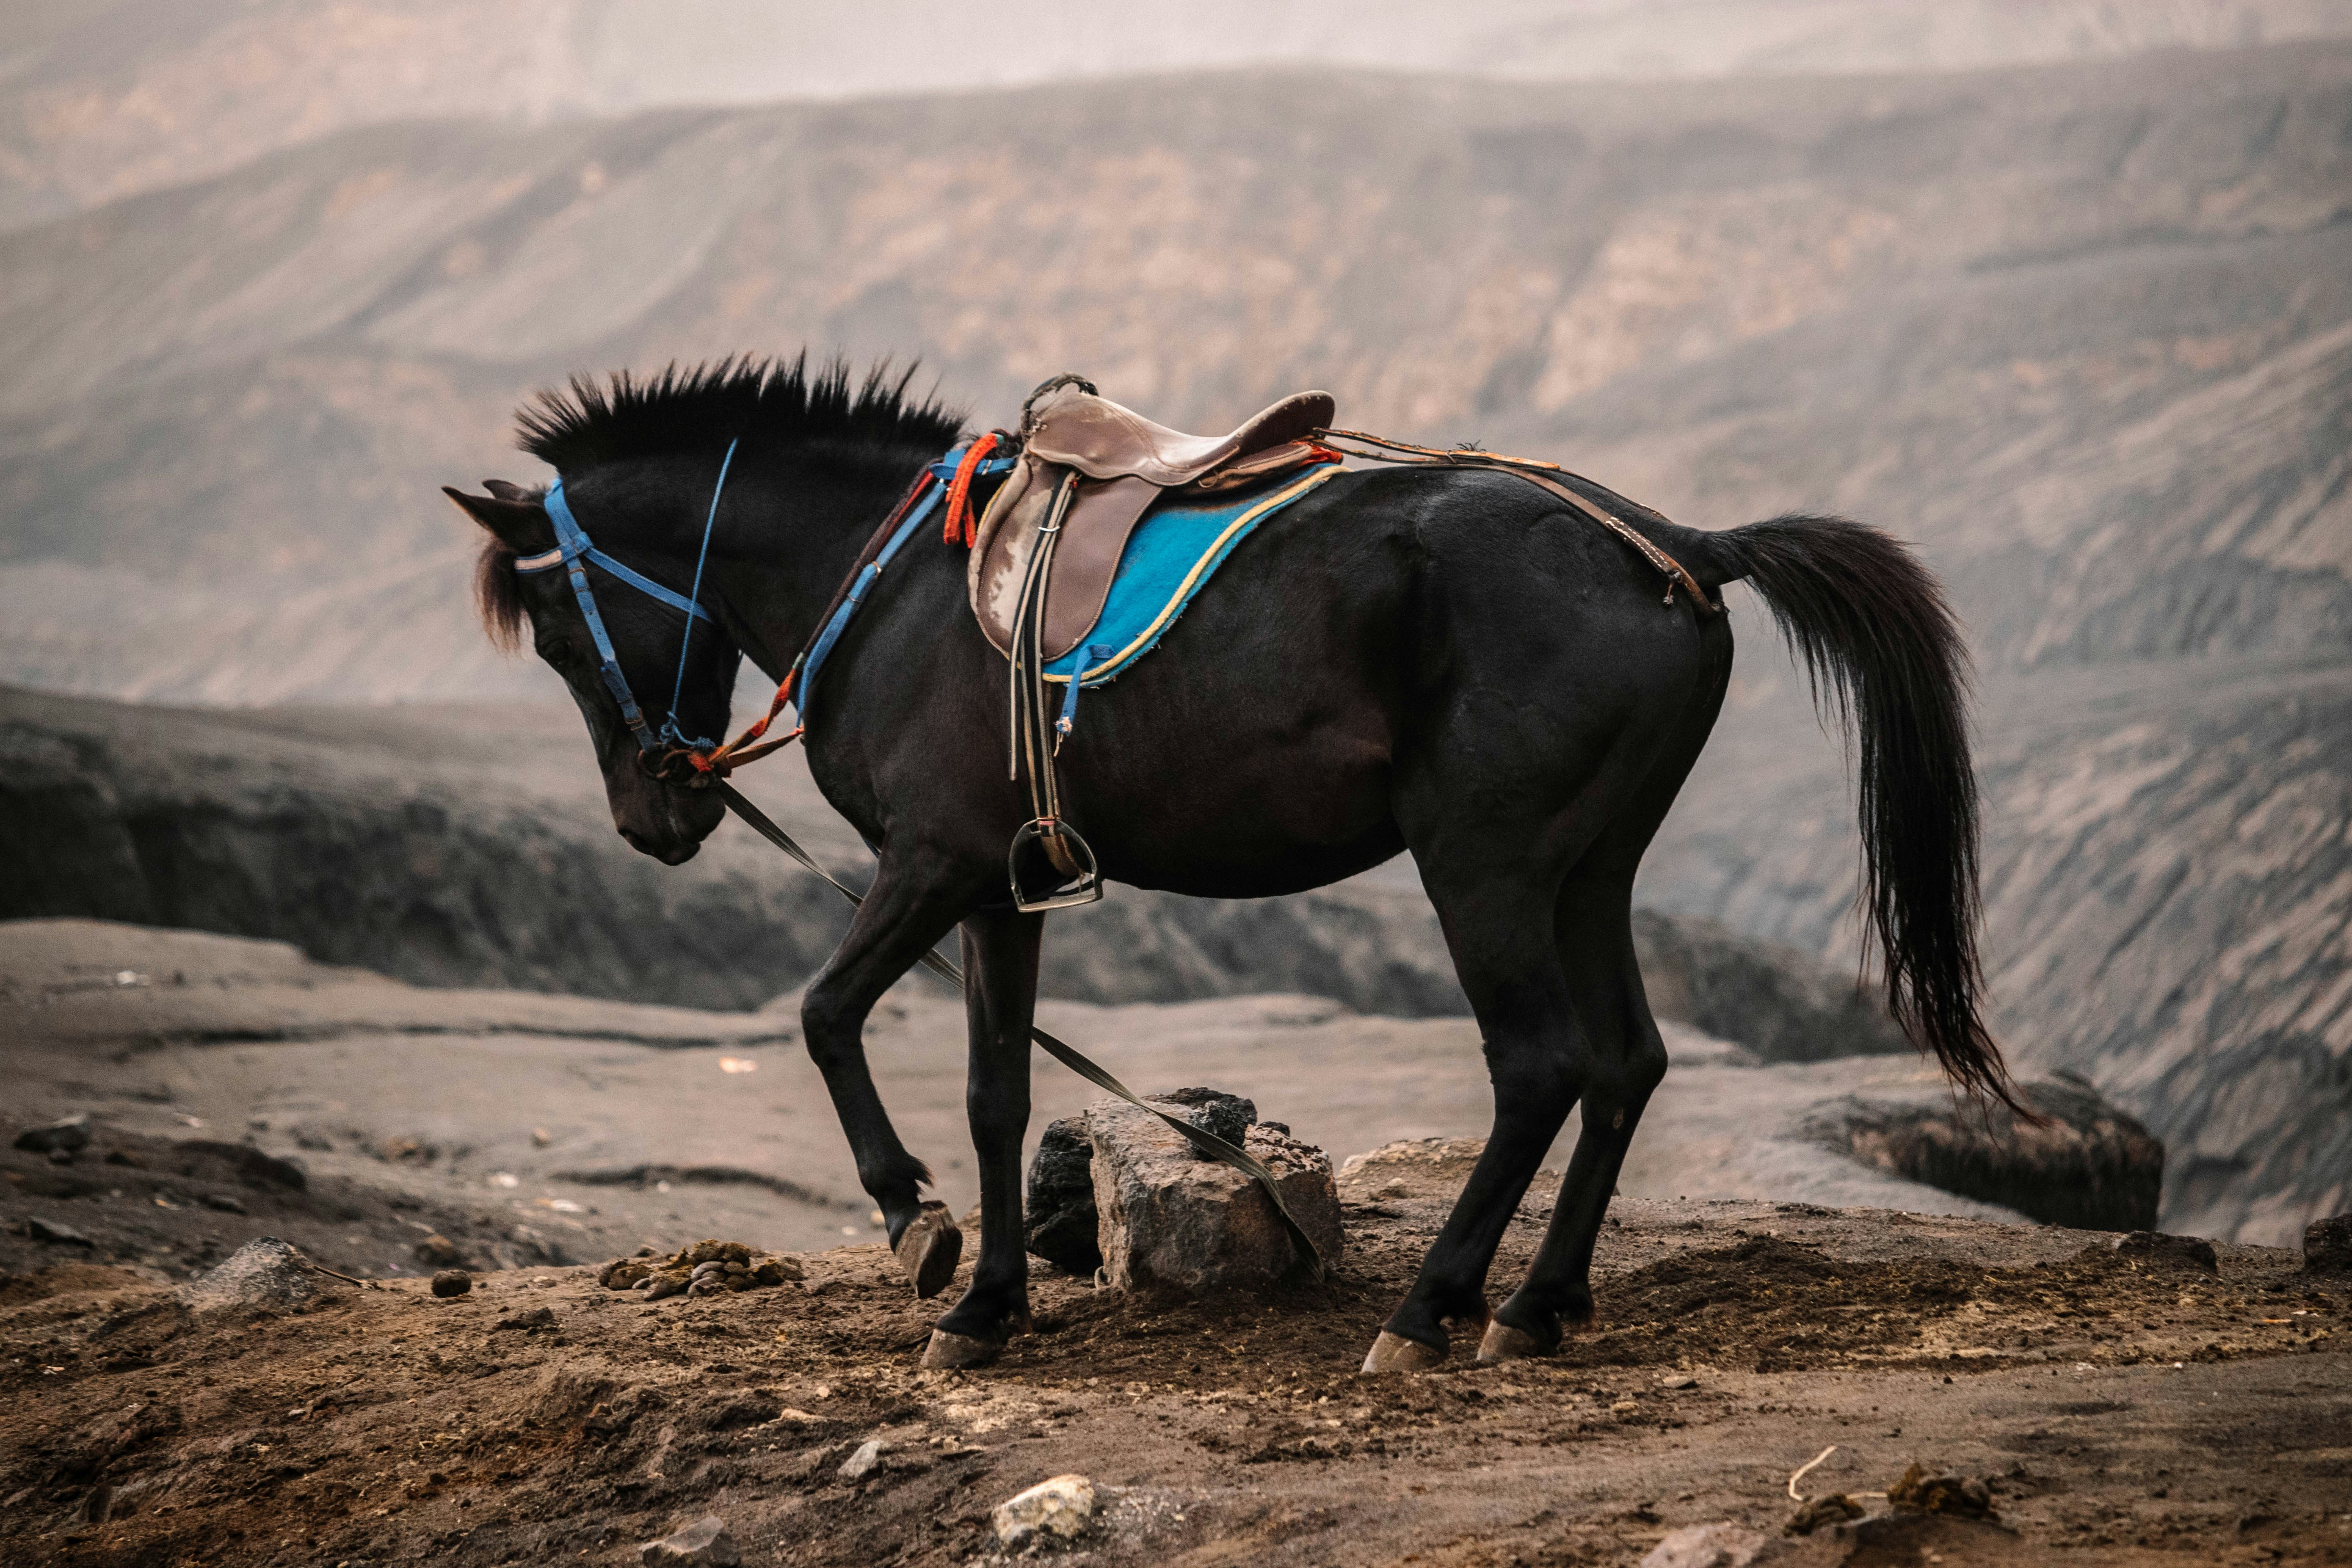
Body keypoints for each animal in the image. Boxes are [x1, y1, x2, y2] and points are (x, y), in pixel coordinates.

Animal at [449, 355, 2013, 1373]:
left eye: (560, 630)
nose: (654, 821)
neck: (890, 579)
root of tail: (1675, 545)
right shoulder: (997, 889)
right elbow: (997, 1093)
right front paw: (986, 1310)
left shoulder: (929, 862)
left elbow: (826, 1015)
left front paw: (915, 1230)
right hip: (1591, 870)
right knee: (1626, 1062)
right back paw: (1536, 1305)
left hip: (1486, 866)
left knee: (1541, 1068)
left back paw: (1428, 1311)